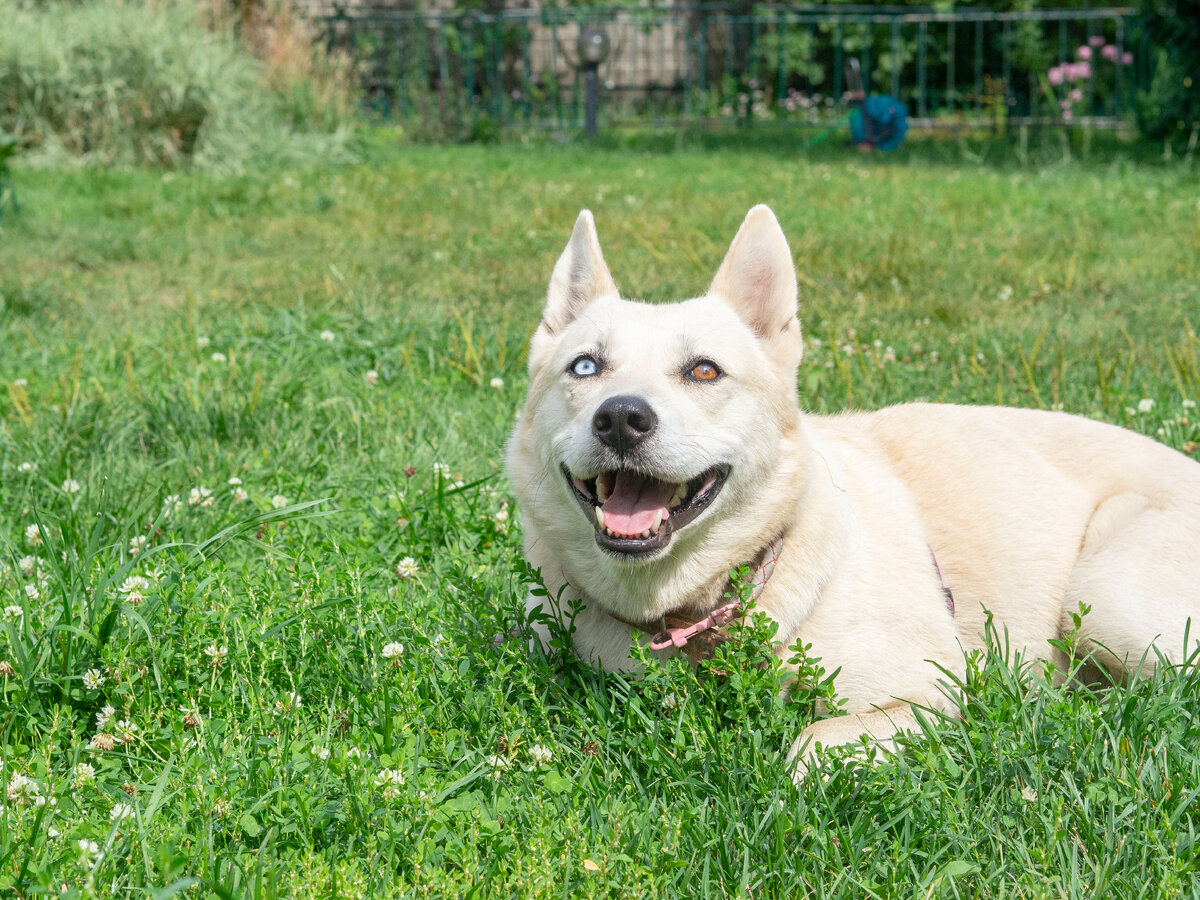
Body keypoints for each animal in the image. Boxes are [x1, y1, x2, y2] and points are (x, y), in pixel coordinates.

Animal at [506, 206, 1200, 777]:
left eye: (704, 370)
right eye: (586, 367)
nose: (622, 417)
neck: (699, 614)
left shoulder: (931, 691)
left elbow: (811, 746)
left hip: (1105, 598)